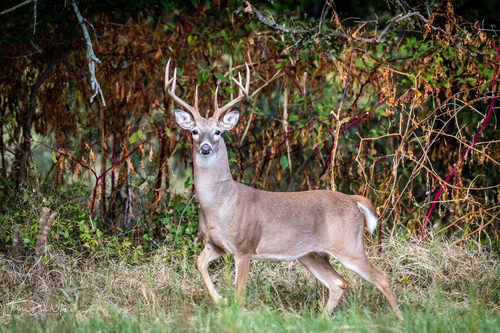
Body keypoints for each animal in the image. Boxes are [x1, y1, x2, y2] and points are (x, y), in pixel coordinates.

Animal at [166, 59, 400, 316]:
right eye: (194, 131)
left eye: (218, 131)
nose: (205, 148)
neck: (220, 203)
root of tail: (353, 200)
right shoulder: (214, 243)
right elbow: (199, 264)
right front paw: (220, 300)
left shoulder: (245, 246)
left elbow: (239, 295)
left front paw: (234, 312)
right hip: (311, 255)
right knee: (339, 283)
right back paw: (322, 318)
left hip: (349, 245)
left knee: (381, 277)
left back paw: (400, 318)